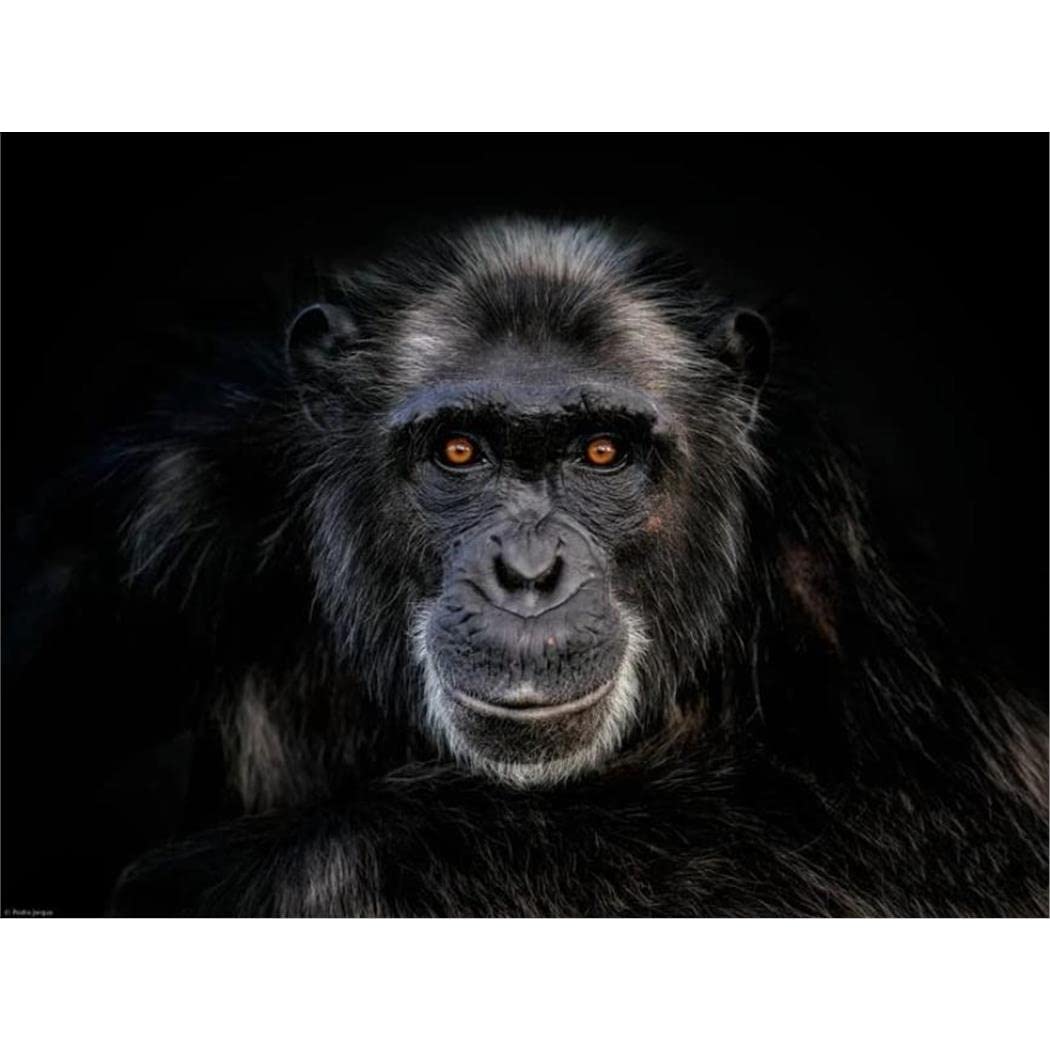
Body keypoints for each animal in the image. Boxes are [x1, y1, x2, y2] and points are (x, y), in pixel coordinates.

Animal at [99, 218, 1046, 916]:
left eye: (601, 452)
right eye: (459, 450)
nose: (527, 572)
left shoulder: (829, 544)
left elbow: (948, 842)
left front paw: (257, 877)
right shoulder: (169, 499)